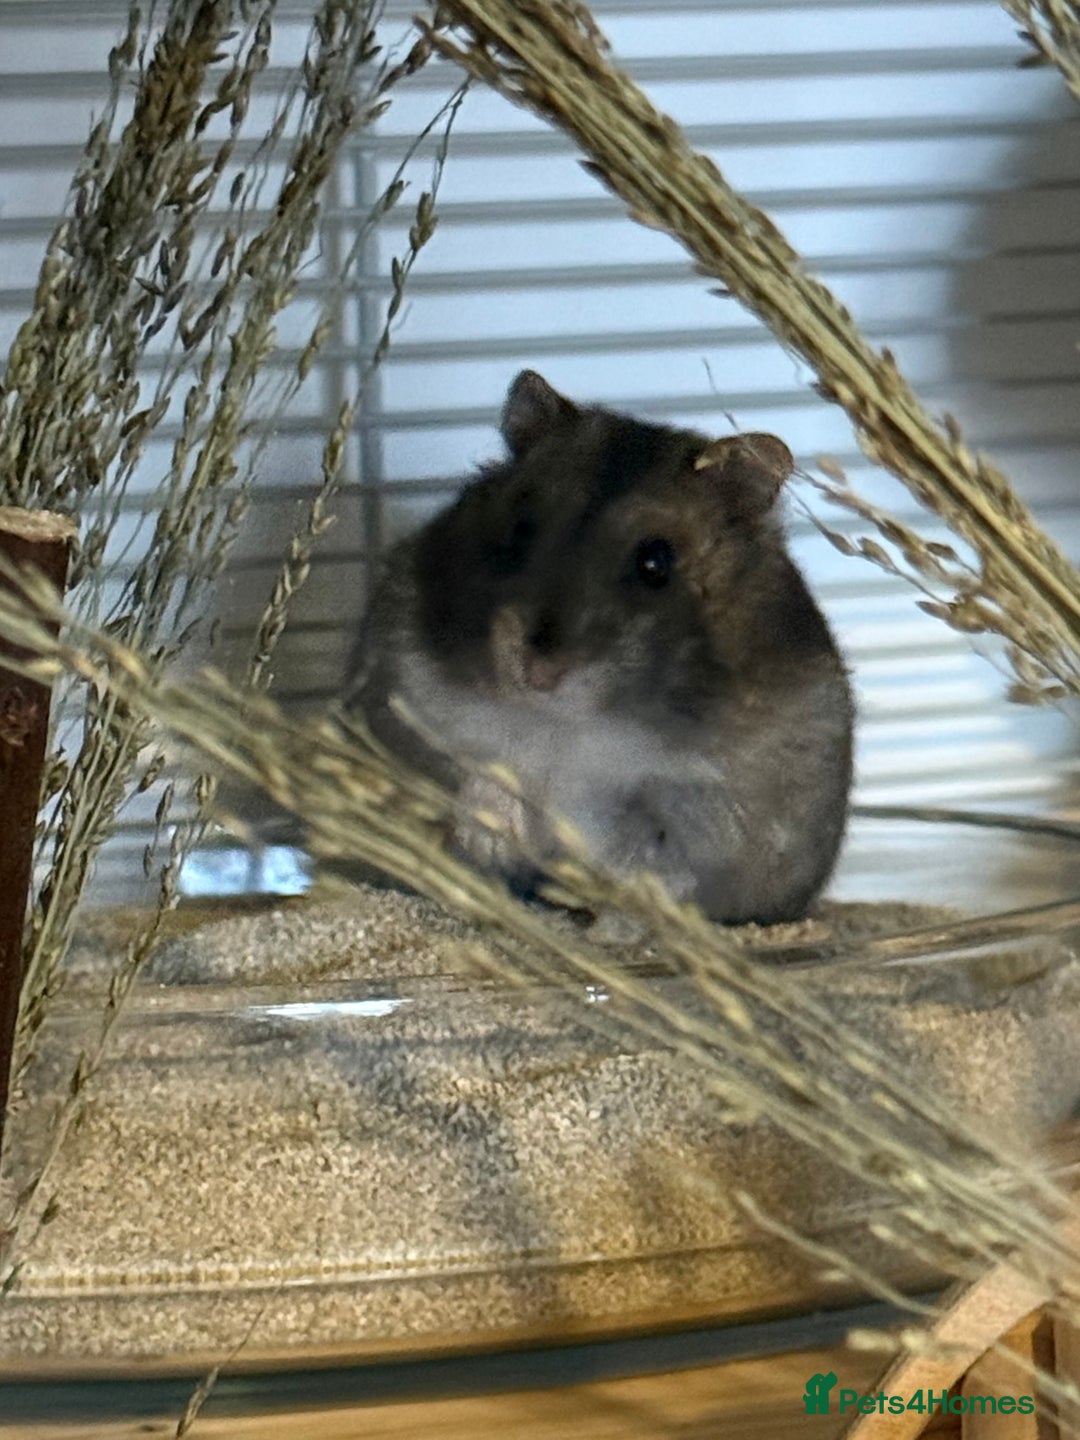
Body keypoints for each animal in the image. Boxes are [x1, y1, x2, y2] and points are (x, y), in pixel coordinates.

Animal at [343, 371, 854, 925]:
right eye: (521, 529)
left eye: (656, 562)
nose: (535, 671)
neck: (569, 725)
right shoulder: (410, 710)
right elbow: (476, 783)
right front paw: (495, 840)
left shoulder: (716, 802)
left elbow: (657, 856)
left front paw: (613, 910)